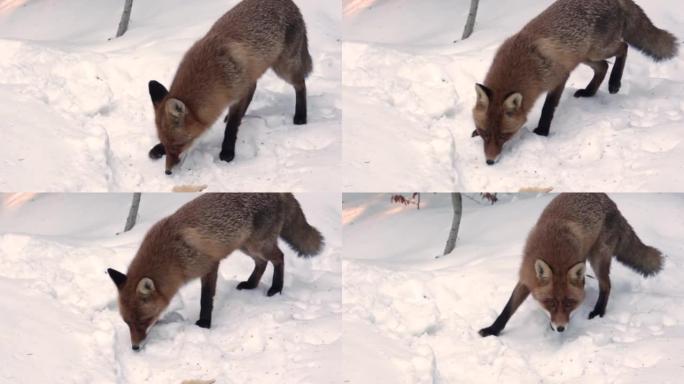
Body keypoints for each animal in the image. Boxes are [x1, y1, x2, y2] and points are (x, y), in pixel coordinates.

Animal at [105, 194, 324, 350]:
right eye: (127, 323)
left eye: (143, 320)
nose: (135, 347)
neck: (172, 254)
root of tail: (280, 192)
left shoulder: (209, 265)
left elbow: (206, 299)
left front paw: (204, 323)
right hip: (246, 247)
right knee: (261, 263)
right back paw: (251, 284)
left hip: (258, 245)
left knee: (279, 257)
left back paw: (276, 288)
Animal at [148, 0, 314, 174]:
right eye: (166, 144)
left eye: (179, 145)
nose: (167, 171)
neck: (215, 72)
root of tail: (290, 3)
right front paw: (158, 148)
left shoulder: (238, 94)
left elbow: (232, 126)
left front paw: (227, 152)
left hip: (284, 68)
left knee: (301, 84)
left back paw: (301, 116)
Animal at [472, 0, 676, 164]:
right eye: (484, 133)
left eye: (504, 135)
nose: (490, 161)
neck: (523, 61)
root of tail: (616, 0)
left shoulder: (559, 77)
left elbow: (548, 108)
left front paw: (542, 131)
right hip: (585, 56)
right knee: (603, 67)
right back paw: (589, 92)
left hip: (597, 50)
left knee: (623, 47)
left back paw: (614, 83)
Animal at [478, 192, 664, 336]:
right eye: (551, 303)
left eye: (569, 303)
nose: (560, 329)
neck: (556, 254)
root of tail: (610, 201)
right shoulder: (526, 278)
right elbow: (508, 308)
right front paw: (492, 330)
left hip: (598, 258)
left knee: (606, 285)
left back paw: (598, 312)